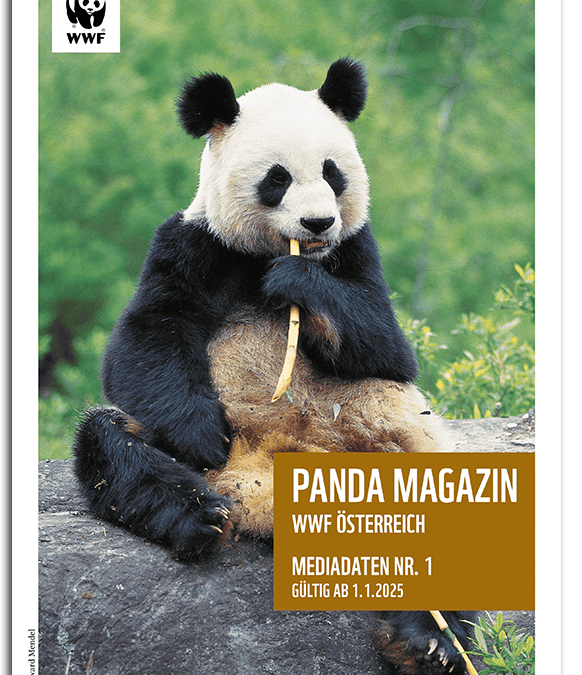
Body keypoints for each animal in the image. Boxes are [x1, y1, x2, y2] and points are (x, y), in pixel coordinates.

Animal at [73, 58, 474, 674]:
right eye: (278, 178)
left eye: (333, 172)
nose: (318, 223)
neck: (271, 251)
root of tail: (266, 485)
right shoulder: (193, 243)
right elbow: (142, 342)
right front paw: (200, 434)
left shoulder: (356, 247)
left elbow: (388, 347)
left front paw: (299, 284)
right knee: (112, 444)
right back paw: (201, 516)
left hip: (402, 449)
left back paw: (431, 643)